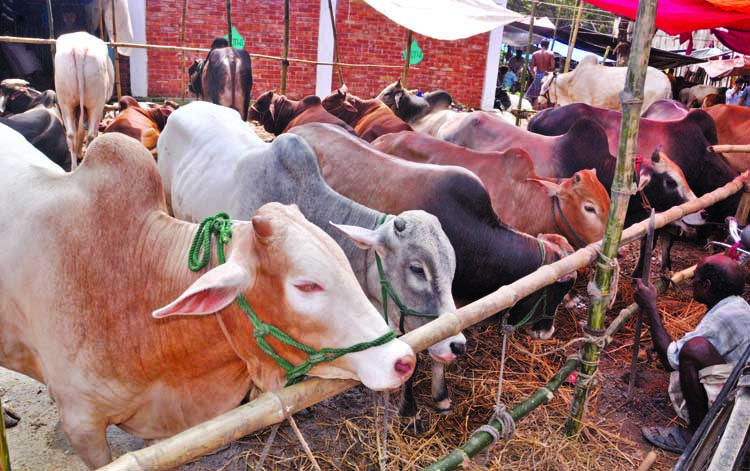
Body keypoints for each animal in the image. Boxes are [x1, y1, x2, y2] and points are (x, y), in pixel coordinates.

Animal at [55, 31, 114, 171]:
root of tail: (79, 49)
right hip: (96, 102)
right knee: (91, 134)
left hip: (65, 101)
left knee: (71, 134)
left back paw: (74, 167)